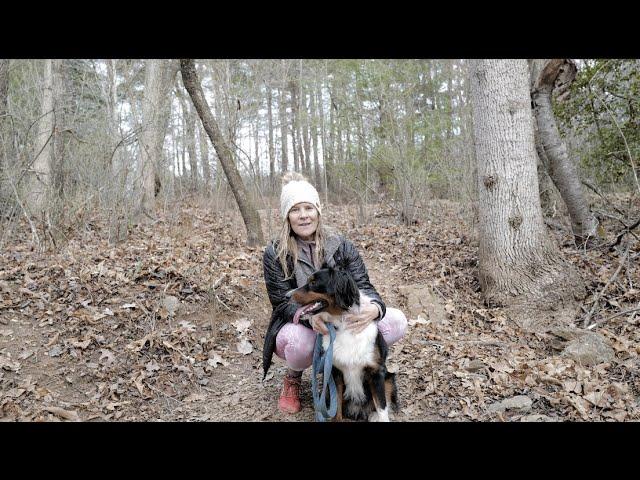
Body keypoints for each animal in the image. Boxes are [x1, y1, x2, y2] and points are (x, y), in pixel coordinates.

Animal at [284, 266, 396, 420]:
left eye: (313, 283)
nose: (286, 295)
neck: (342, 325)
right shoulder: (334, 372)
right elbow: (336, 406)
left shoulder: (376, 373)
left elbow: (382, 406)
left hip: (389, 378)